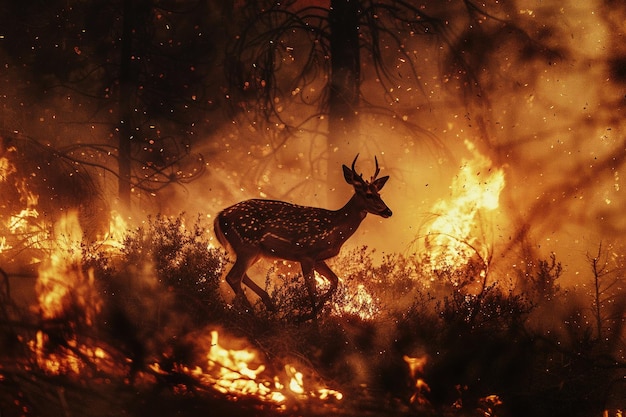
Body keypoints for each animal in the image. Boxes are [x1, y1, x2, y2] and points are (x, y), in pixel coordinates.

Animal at [214, 154, 390, 314]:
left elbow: (334, 280)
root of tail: (220, 216)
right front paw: (309, 321)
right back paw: (255, 314)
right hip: (247, 245)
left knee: (241, 275)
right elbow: (312, 292)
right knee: (233, 277)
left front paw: (305, 317)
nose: (388, 211)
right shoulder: (306, 254)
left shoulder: (318, 258)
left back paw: (270, 305)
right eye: (368, 194)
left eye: (379, 194)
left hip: (256, 251)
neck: (334, 231)